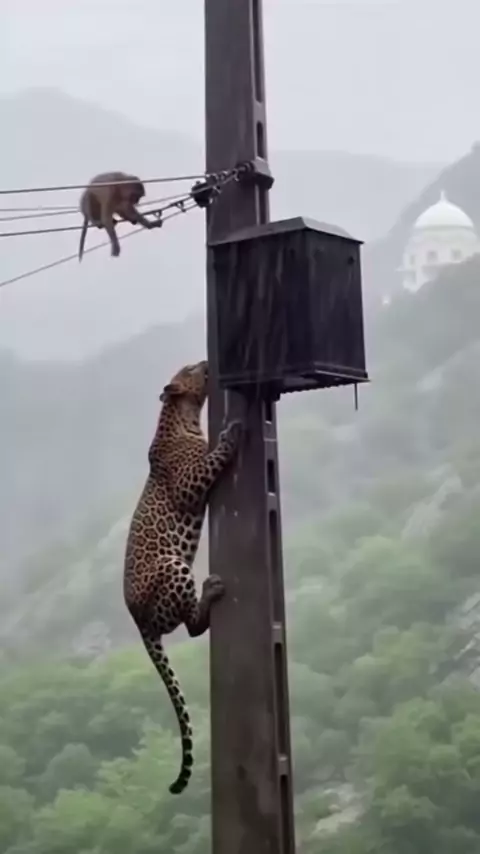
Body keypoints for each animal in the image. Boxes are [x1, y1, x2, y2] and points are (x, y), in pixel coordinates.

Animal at [123, 359, 242, 795]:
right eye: (191, 368)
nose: (206, 362)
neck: (180, 417)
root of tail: (138, 622)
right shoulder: (191, 482)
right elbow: (214, 457)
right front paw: (232, 433)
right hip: (174, 566)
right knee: (190, 626)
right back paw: (211, 589)